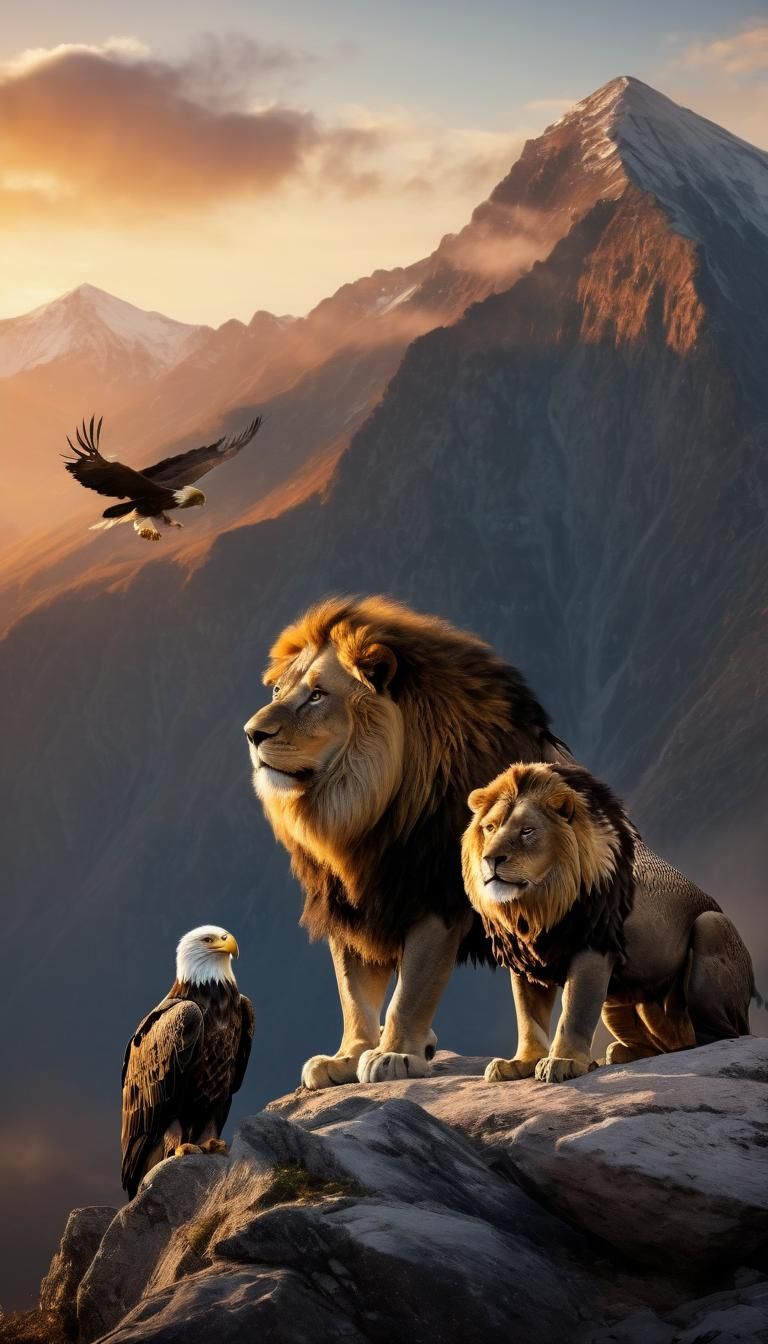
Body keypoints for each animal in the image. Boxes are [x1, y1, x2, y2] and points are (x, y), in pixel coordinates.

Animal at [244, 595, 570, 1088]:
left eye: (317, 695)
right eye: (278, 691)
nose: (252, 733)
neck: (361, 813)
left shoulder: (432, 897)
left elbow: (412, 988)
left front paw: (393, 1054)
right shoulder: (350, 903)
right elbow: (353, 991)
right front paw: (348, 1056)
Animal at [462, 761, 755, 1083]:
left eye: (527, 831)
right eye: (490, 828)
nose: (490, 859)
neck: (535, 909)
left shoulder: (593, 947)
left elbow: (575, 1010)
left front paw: (563, 1061)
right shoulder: (524, 960)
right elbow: (528, 1017)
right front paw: (520, 1063)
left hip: (712, 925)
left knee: (724, 1035)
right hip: (618, 1003)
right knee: (661, 1045)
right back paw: (618, 1053)